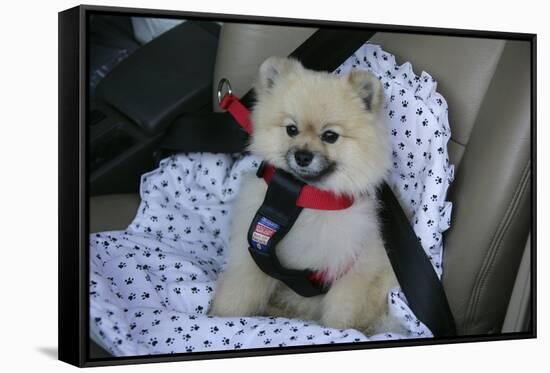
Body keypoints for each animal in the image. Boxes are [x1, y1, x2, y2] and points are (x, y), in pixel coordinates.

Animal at [209, 56, 398, 332]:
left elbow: (341, 315)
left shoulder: (355, 268)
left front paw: (343, 333)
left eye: (330, 136)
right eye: (291, 129)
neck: (307, 198)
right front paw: (219, 316)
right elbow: (239, 292)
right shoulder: (253, 254)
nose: (303, 156)